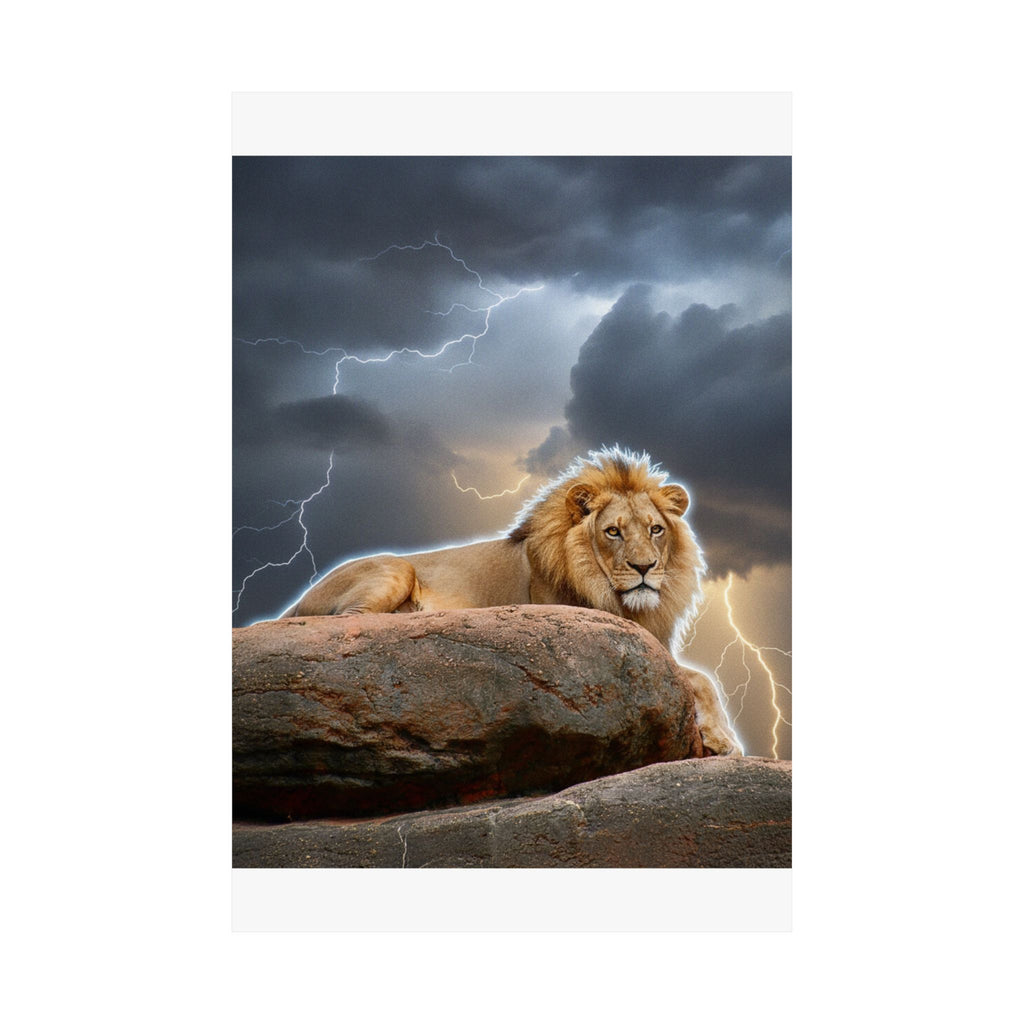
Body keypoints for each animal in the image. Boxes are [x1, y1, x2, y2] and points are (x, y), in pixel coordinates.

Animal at [282, 447, 742, 755]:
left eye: (655, 530)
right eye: (613, 531)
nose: (645, 567)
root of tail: (299, 598)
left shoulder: (654, 641)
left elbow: (704, 678)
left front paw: (722, 739)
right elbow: (697, 677)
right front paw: (725, 740)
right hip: (395, 570)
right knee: (351, 622)